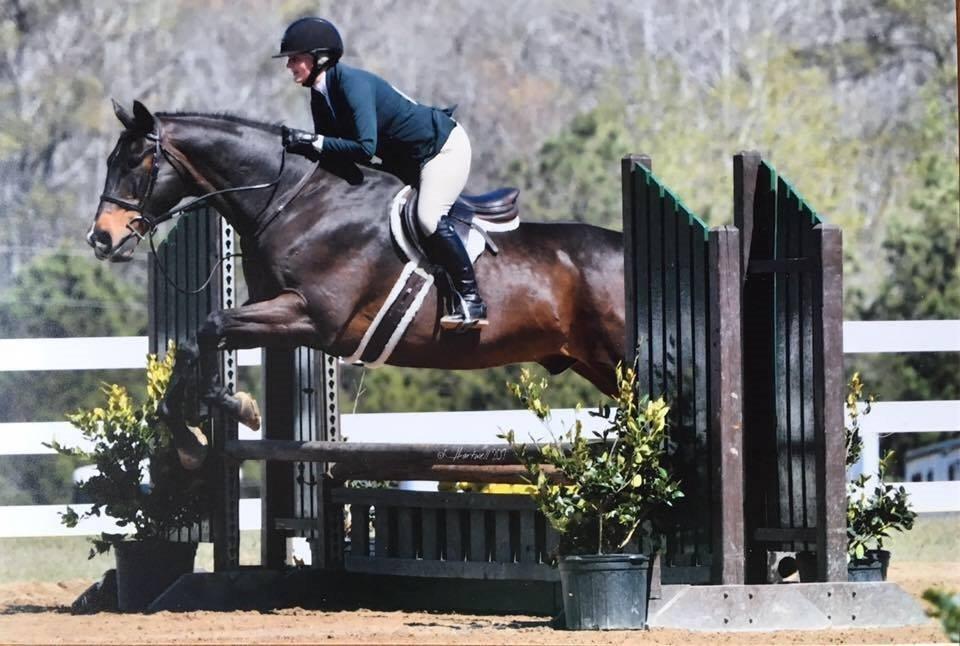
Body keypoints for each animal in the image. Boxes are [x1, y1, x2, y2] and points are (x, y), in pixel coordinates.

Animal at [88, 100, 625, 468]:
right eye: (111, 161)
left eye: (137, 163)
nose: (101, 238)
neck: (292, 202)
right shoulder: (274, 310)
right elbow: (200, 338)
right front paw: (210, 422)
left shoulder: (311, 317)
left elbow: (211, 325)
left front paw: (223, 415)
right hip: (597, 365)